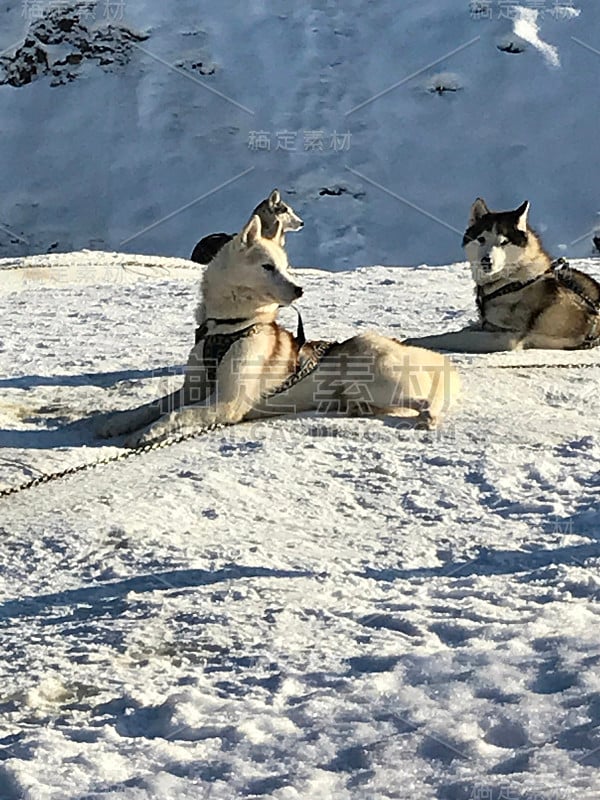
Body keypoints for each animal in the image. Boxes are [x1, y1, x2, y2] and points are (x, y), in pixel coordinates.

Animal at [99, 214, 460, 450]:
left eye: (285, 267)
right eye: (267, 266)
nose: (300, 290)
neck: (227, 327)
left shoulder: (227, 403)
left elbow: (176, 414)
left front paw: (147, 434)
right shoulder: (195, 387)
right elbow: (152, 406)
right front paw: (119, 423)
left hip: (379, 383)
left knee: (425, 399)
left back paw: (429, 415)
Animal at [404, 198, 600, 352]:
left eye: (504, 242)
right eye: (481, 239)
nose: (486, 261)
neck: (511, 282)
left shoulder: (507, 337)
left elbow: (452, 337)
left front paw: (413, 341)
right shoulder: (486, 325)